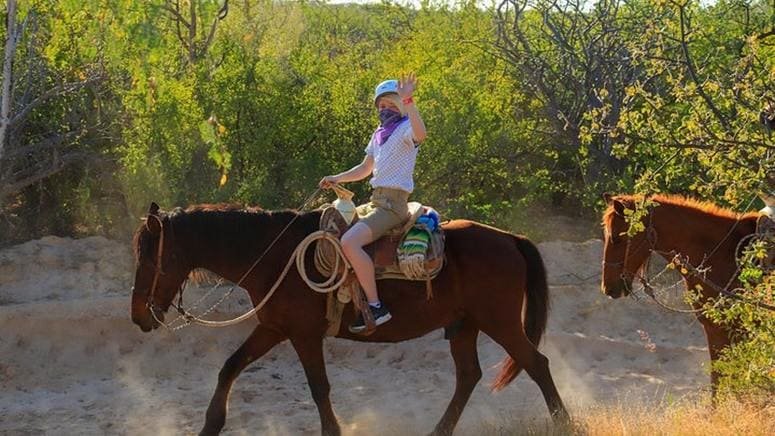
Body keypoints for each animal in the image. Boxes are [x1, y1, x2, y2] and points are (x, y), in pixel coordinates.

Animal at [130, 202, 569, 436]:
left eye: (150, 258)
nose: (138, 316)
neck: (275, 258)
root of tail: (510, 239)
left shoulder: (304, 335)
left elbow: (318, 387)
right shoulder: (273, 328)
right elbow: (230, 367)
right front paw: (210, 425)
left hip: (501, 323)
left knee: (536, 363)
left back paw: (563, 422)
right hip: (465, 327)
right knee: (468, 377)